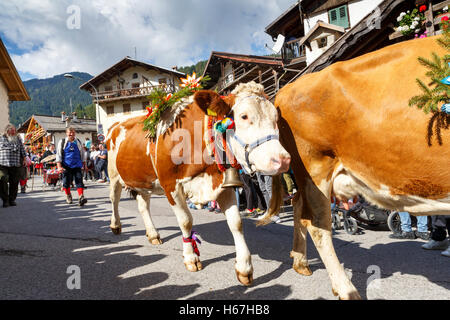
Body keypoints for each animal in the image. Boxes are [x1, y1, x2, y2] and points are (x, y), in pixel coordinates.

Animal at [105, 82, 290, 284]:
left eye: (275, 118)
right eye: (244, 116)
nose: (282, 159)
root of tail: (117, 124)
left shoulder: (222, 184)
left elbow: (236, 223)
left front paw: (244, 268)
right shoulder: (171, 185)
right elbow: (185, 221)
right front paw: (191, 258)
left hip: (143, 180)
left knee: (143, 205)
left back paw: (153, 234)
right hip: (114, 174)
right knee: (114, 198)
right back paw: (115, 225)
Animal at [264, 35, 450, 300]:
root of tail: (285, 90)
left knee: (300, 206)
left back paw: (301, 263)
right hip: (315, 168)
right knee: (317, 224)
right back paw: (347, 289)